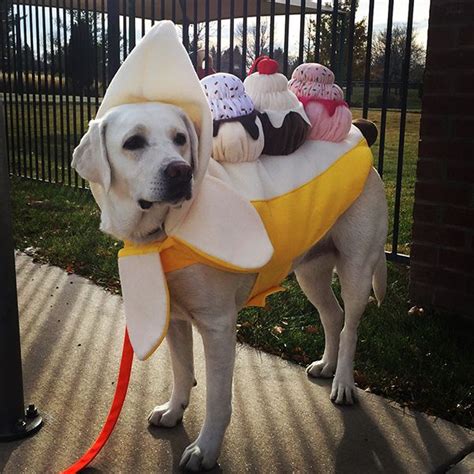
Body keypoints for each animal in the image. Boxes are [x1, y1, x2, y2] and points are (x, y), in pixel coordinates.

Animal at [72, 101, 386, 470]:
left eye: (180, 139)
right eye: (133, 142)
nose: (180, 171)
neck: (162, 236)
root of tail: (360, 140)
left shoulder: (218, 325)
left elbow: (217, 397)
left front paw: (205, 449)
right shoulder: (174, 318)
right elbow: (182, 370)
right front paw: (174, 410)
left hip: (357, 269)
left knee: (350, 326)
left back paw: (344, 383)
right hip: (311, 272)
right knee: (332, 316)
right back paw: (327, 365)